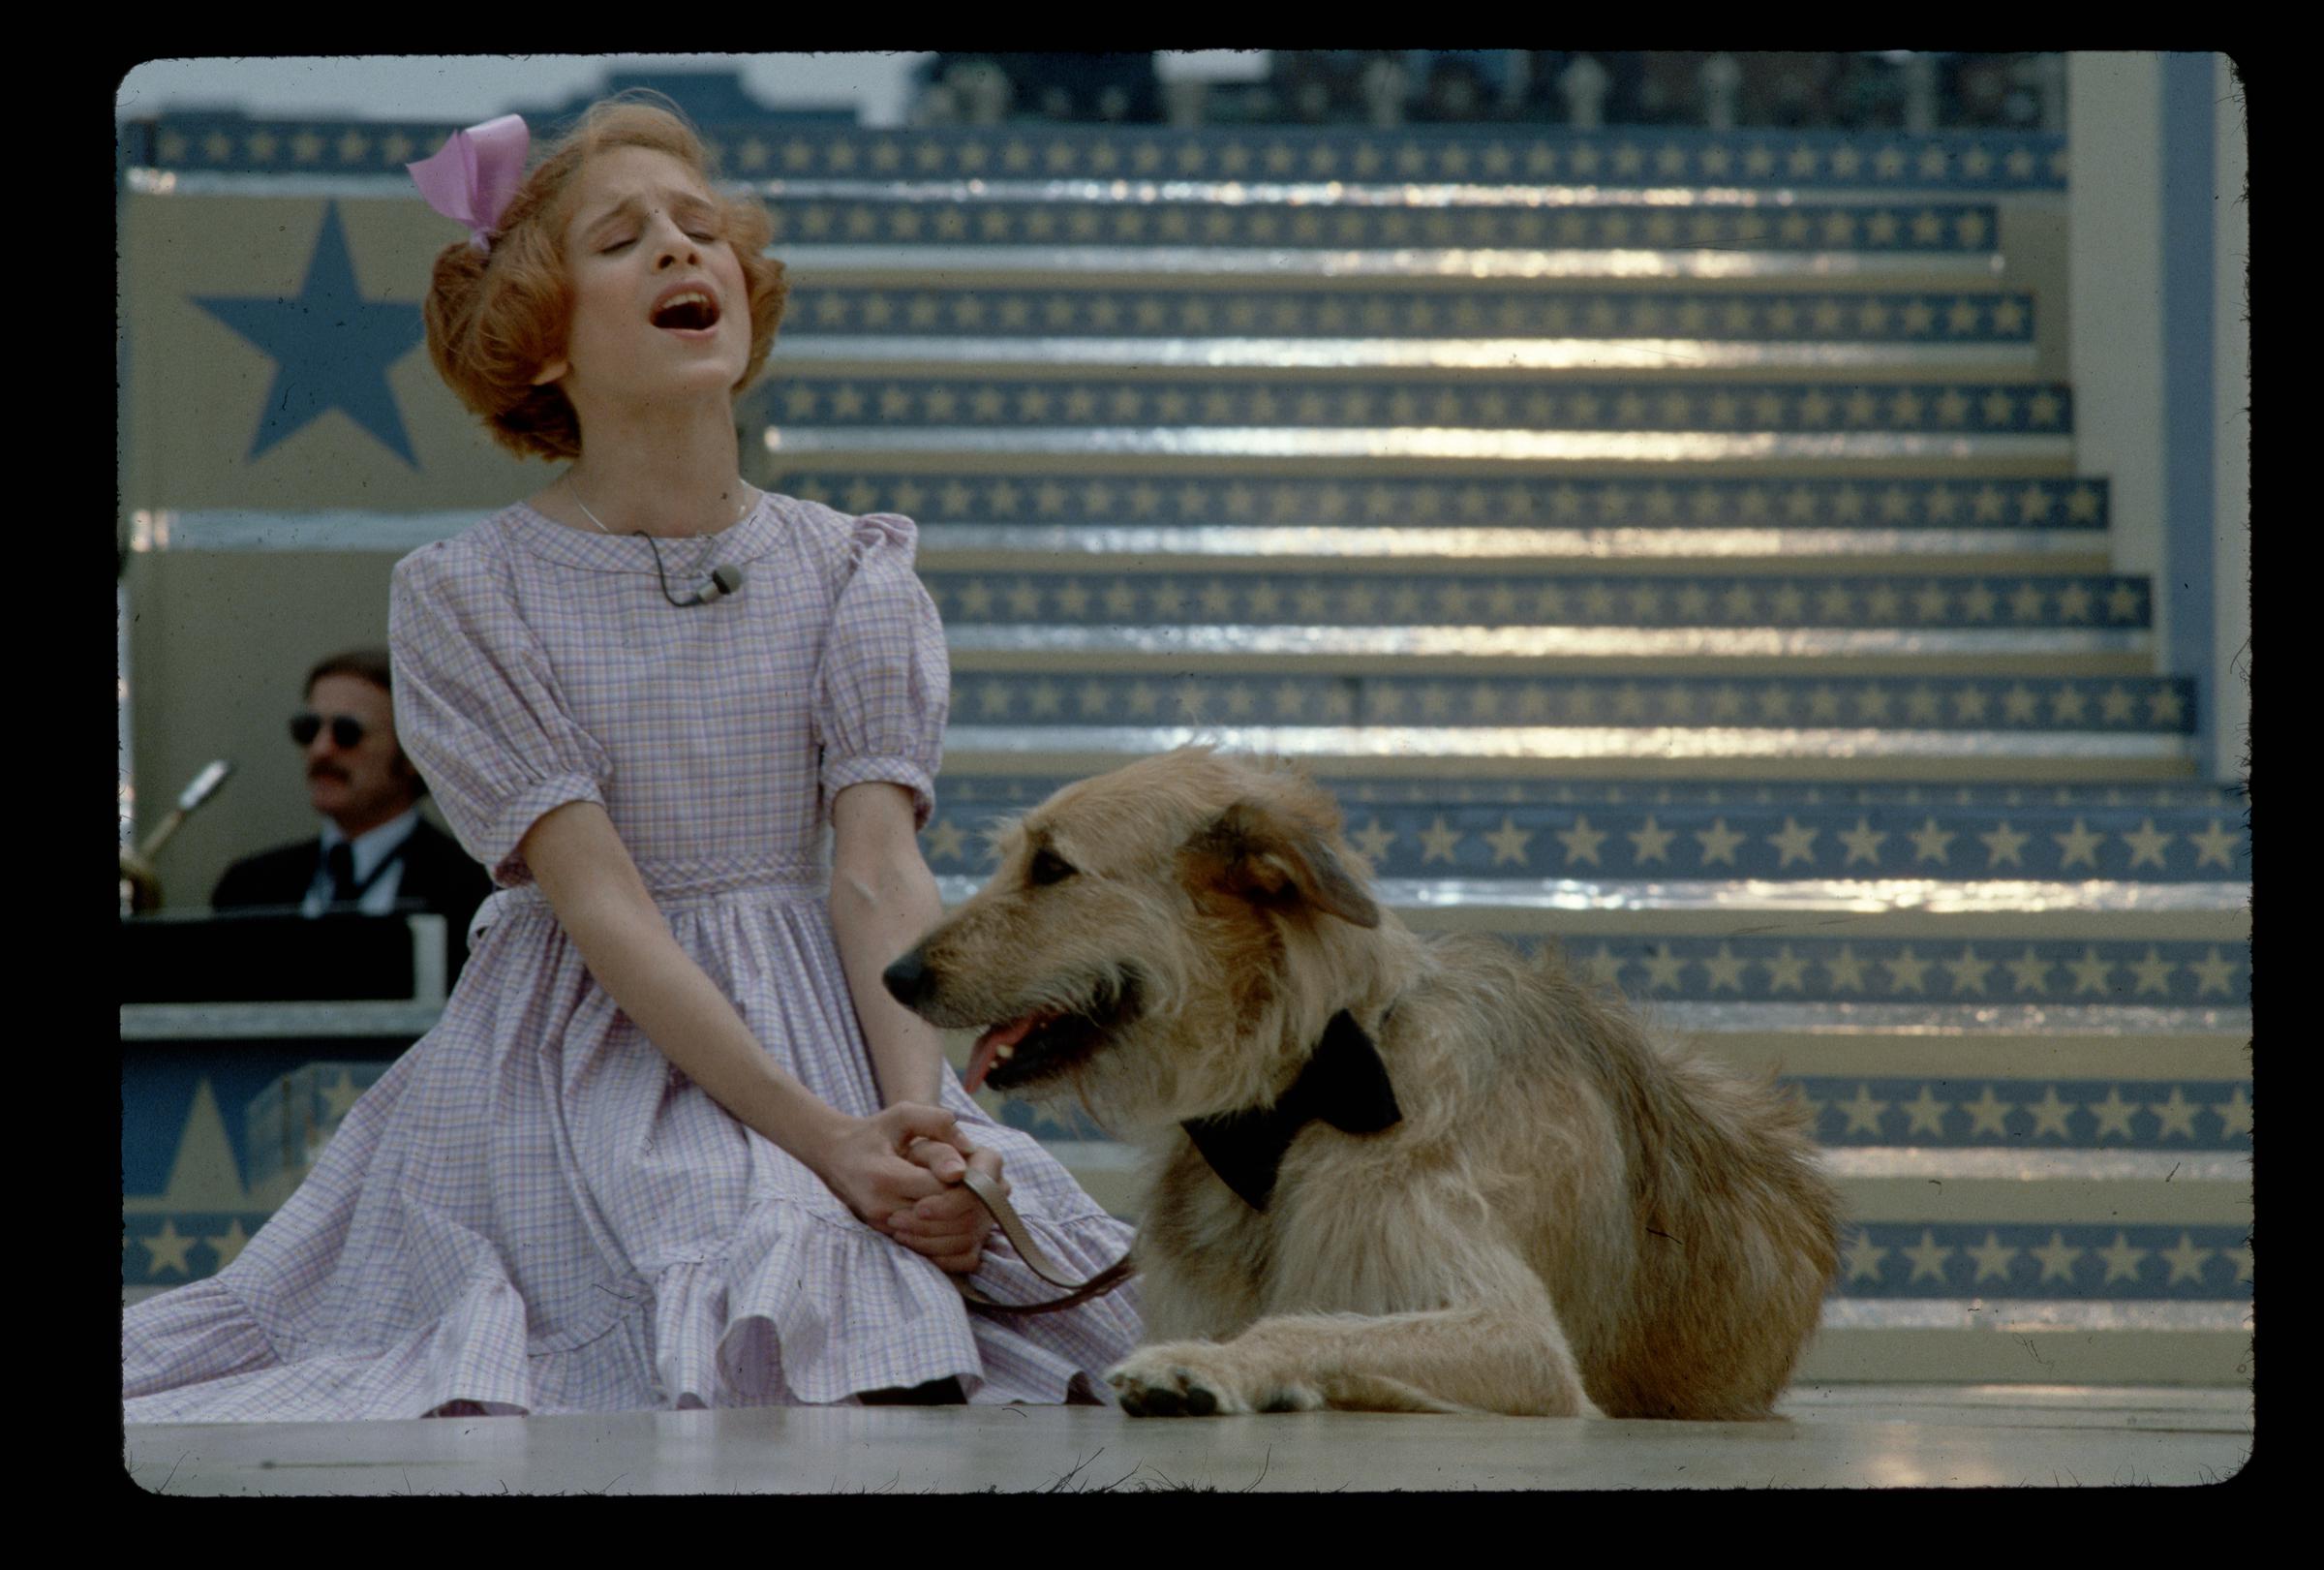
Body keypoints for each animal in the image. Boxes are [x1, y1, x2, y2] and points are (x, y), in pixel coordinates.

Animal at [878, 749, 1840, 1423]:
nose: (895, 976)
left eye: (1052, 867)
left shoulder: (1518, 1339)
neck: (1294, 1092)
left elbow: (1310, 1323)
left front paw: (1209, 1367)